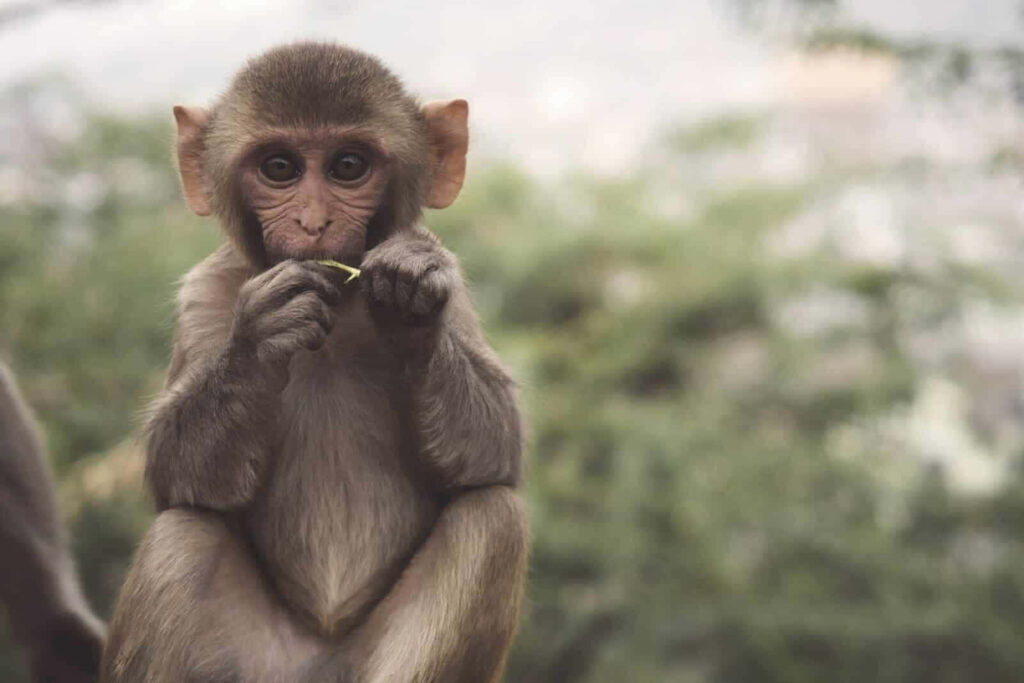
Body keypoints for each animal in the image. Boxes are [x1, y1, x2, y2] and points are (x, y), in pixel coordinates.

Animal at [99, 42, 528, 683]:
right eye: (280, 168)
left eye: (348, 165)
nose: (313, 223)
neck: (342, 308)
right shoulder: (205, 294)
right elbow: (176, 474)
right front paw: (261, 338)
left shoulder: (456, 289)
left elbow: (495, 451)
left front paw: (410, 304)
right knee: (183, 536)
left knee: (492, 519)